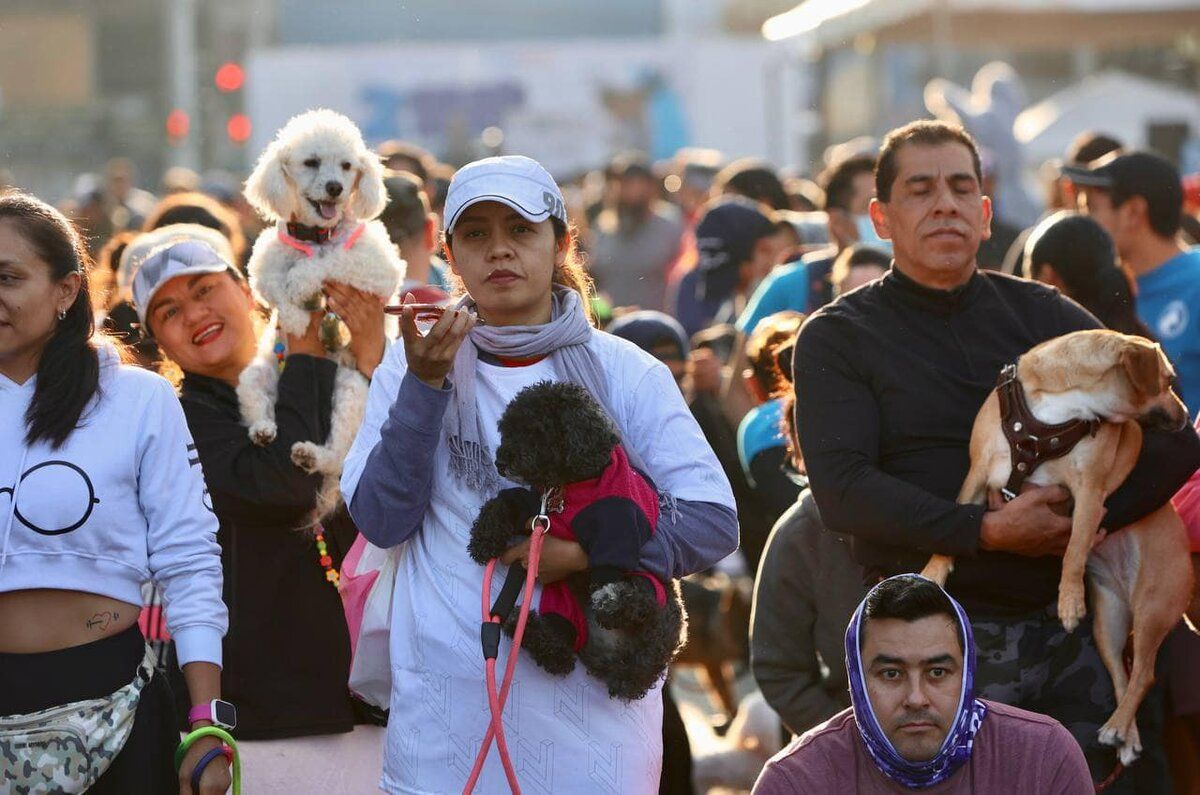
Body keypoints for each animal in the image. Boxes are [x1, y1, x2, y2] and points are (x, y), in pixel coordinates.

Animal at [237, 107, 403, 516]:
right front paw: (295, 315)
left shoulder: (378, 268)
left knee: (339, 455)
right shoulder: (264, 263)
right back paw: (263, 431)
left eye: (347, 166)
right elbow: (274, 285)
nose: (334, 188)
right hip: (255, 377)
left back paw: (312, 455)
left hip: (350, 389)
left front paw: (302, 282)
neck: (315, 238)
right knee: (261, 407)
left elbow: (331, 261)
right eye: (311, 162)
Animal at [916, 329, 1190, 768]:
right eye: (1167, 381)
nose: (1184, 415)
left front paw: (1069, 600)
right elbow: (956, 520)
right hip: (1109, 623)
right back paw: (1124, 733)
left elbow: (1075, 548)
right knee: (1125, 675)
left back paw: (1117, 726)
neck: (1061, 407)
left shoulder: (1090, 495)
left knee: (1145, 673)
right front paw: (932, 572)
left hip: (1154, 605)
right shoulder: (978, 474)